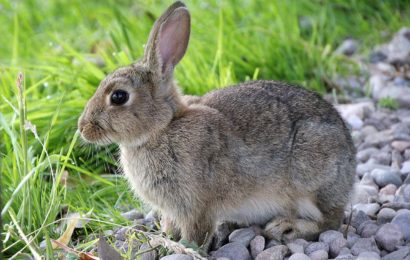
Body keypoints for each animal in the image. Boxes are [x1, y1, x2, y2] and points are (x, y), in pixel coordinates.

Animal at [77, 0, 356, 248]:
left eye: (118, 97)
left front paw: (184, 247)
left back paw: (286, 227)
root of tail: (350, 162)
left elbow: (196, 232)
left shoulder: (196, 205)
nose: (83, 127)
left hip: (312, 178)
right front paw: (164, 238)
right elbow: (170, 224)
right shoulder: (172, 209)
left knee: (330, 221)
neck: (163, 127)